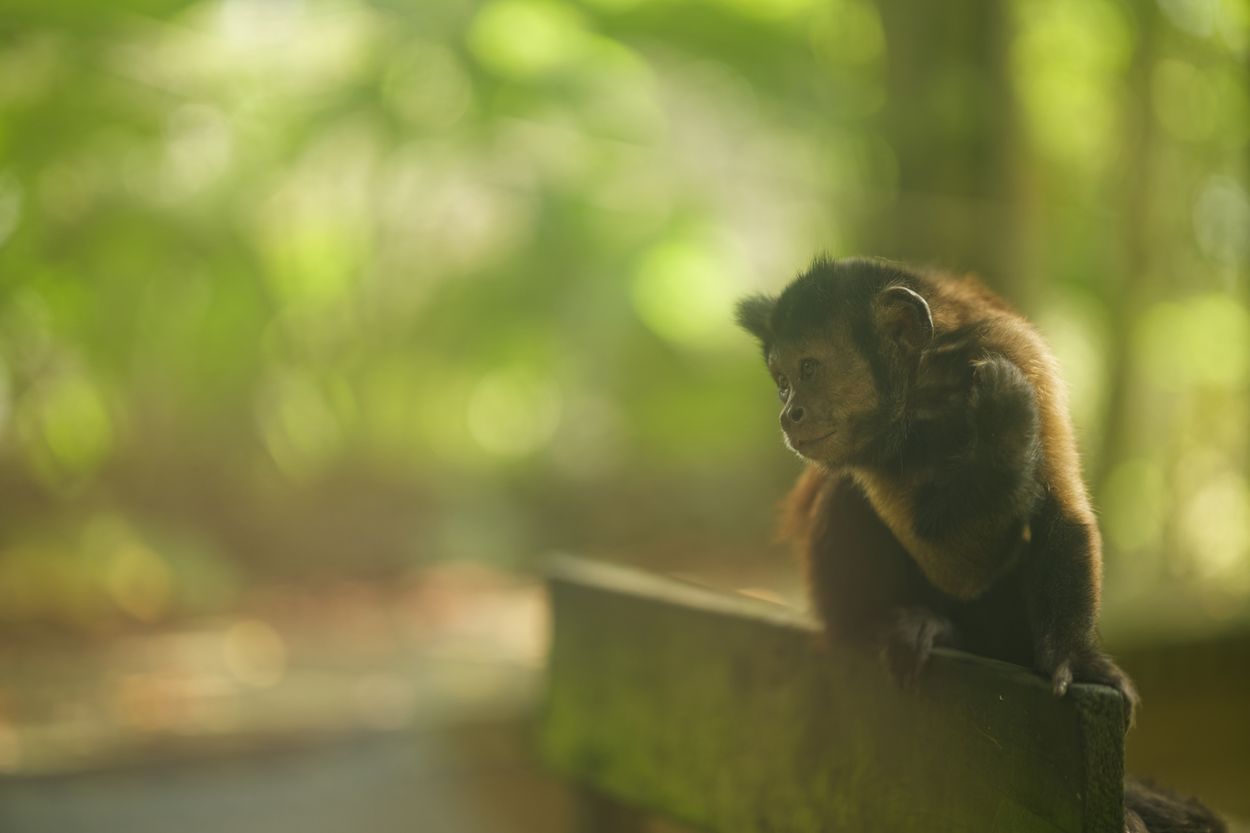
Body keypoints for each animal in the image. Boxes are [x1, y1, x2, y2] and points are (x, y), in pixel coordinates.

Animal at [737, 256, 1226, 833]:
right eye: (782, 381)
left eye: (809, 369)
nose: (787, 412)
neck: (928, 387)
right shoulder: (869, 451)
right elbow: (955, 568)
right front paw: (1006, 429)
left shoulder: (1011, 350)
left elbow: (1062, 516)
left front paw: (1078, 656)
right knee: (845, 497)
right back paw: (899, 623)